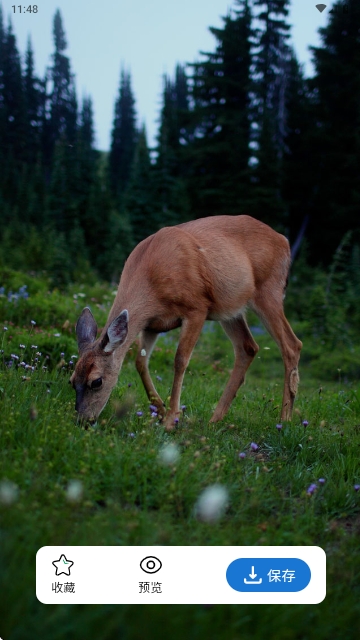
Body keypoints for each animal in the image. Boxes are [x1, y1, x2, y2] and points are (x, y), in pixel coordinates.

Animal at [69, 215, 300, 430]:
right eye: (71, 381)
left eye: (96, 381)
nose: (83, 421)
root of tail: (284, 240)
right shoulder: (152, 324)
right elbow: (140, 362)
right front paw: (160, 409)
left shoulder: (197, 308)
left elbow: (180, 360)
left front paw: (172, 418)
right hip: (230, 309)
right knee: (248, 347)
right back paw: (215, 419)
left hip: (268, 290)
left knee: (292, 345)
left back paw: (284, 419)